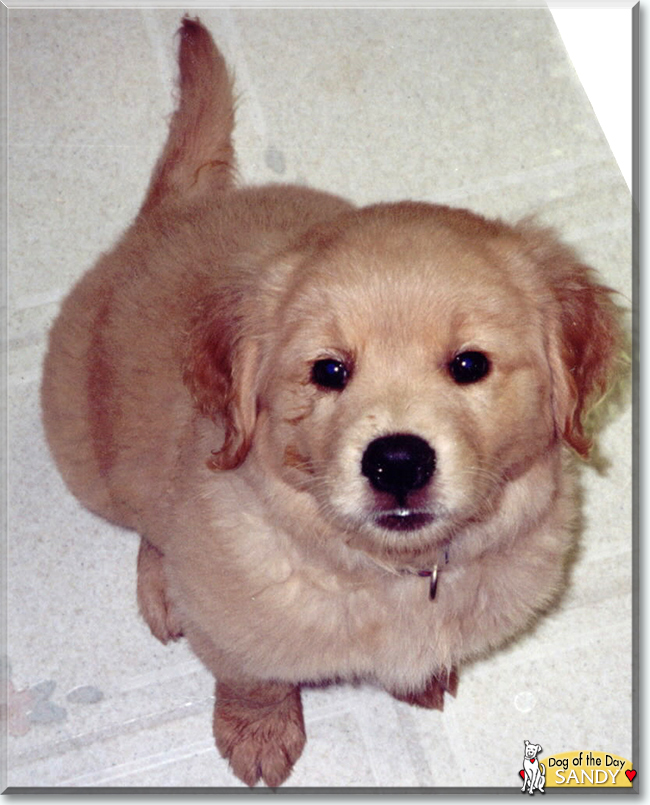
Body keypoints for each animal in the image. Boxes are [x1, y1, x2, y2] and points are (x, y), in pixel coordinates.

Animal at [39, 17, 616, 784]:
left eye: (471, 364)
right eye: (329, 370)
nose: (397, 461)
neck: (394, 575)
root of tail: (175, 208)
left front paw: (422, 676)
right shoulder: (232, 628)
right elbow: (250, 680)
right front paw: (258, 732)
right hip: (87, 461)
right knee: (144, 524)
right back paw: (160, 586)